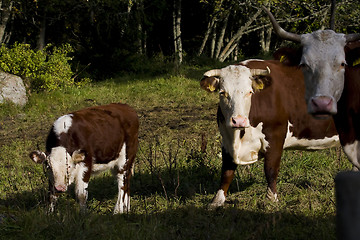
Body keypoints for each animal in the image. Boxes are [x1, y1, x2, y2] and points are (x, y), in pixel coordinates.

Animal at [201, 59, 338, 207]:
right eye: (222, 93)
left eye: (250, 92)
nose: (238, 121)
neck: (239, 137)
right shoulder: (226, 140)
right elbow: (226, 171)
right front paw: (217, 200)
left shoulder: (275, 137)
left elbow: (270, 169)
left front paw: (271, 198)